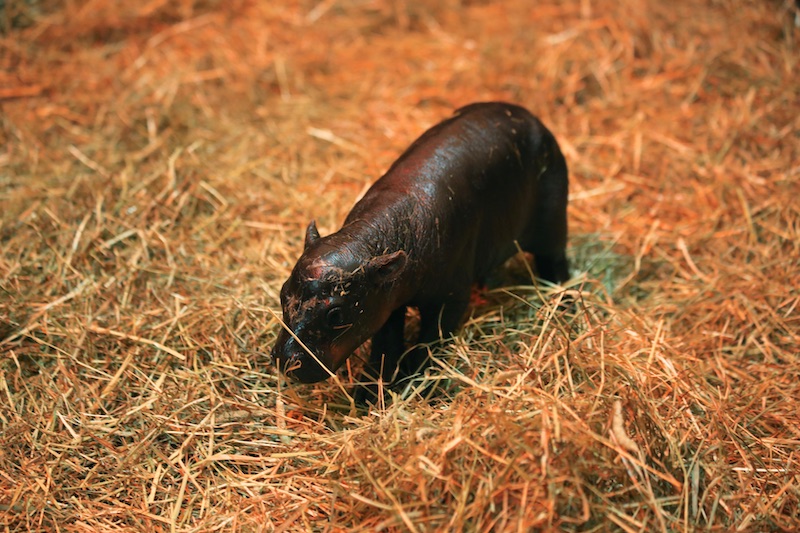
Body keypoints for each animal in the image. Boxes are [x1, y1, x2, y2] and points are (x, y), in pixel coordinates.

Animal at [274, 101, 568, 404]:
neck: (369, 239)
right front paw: (368, 395)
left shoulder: (449, 298)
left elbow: (430, 341)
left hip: (553, 221)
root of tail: (530, 116)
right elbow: (386, 344)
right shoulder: (386, 300)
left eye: (336, 314)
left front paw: (414, 385)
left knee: (555, 260)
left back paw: (561, 300)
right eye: (283, 293)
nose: (286, 361)